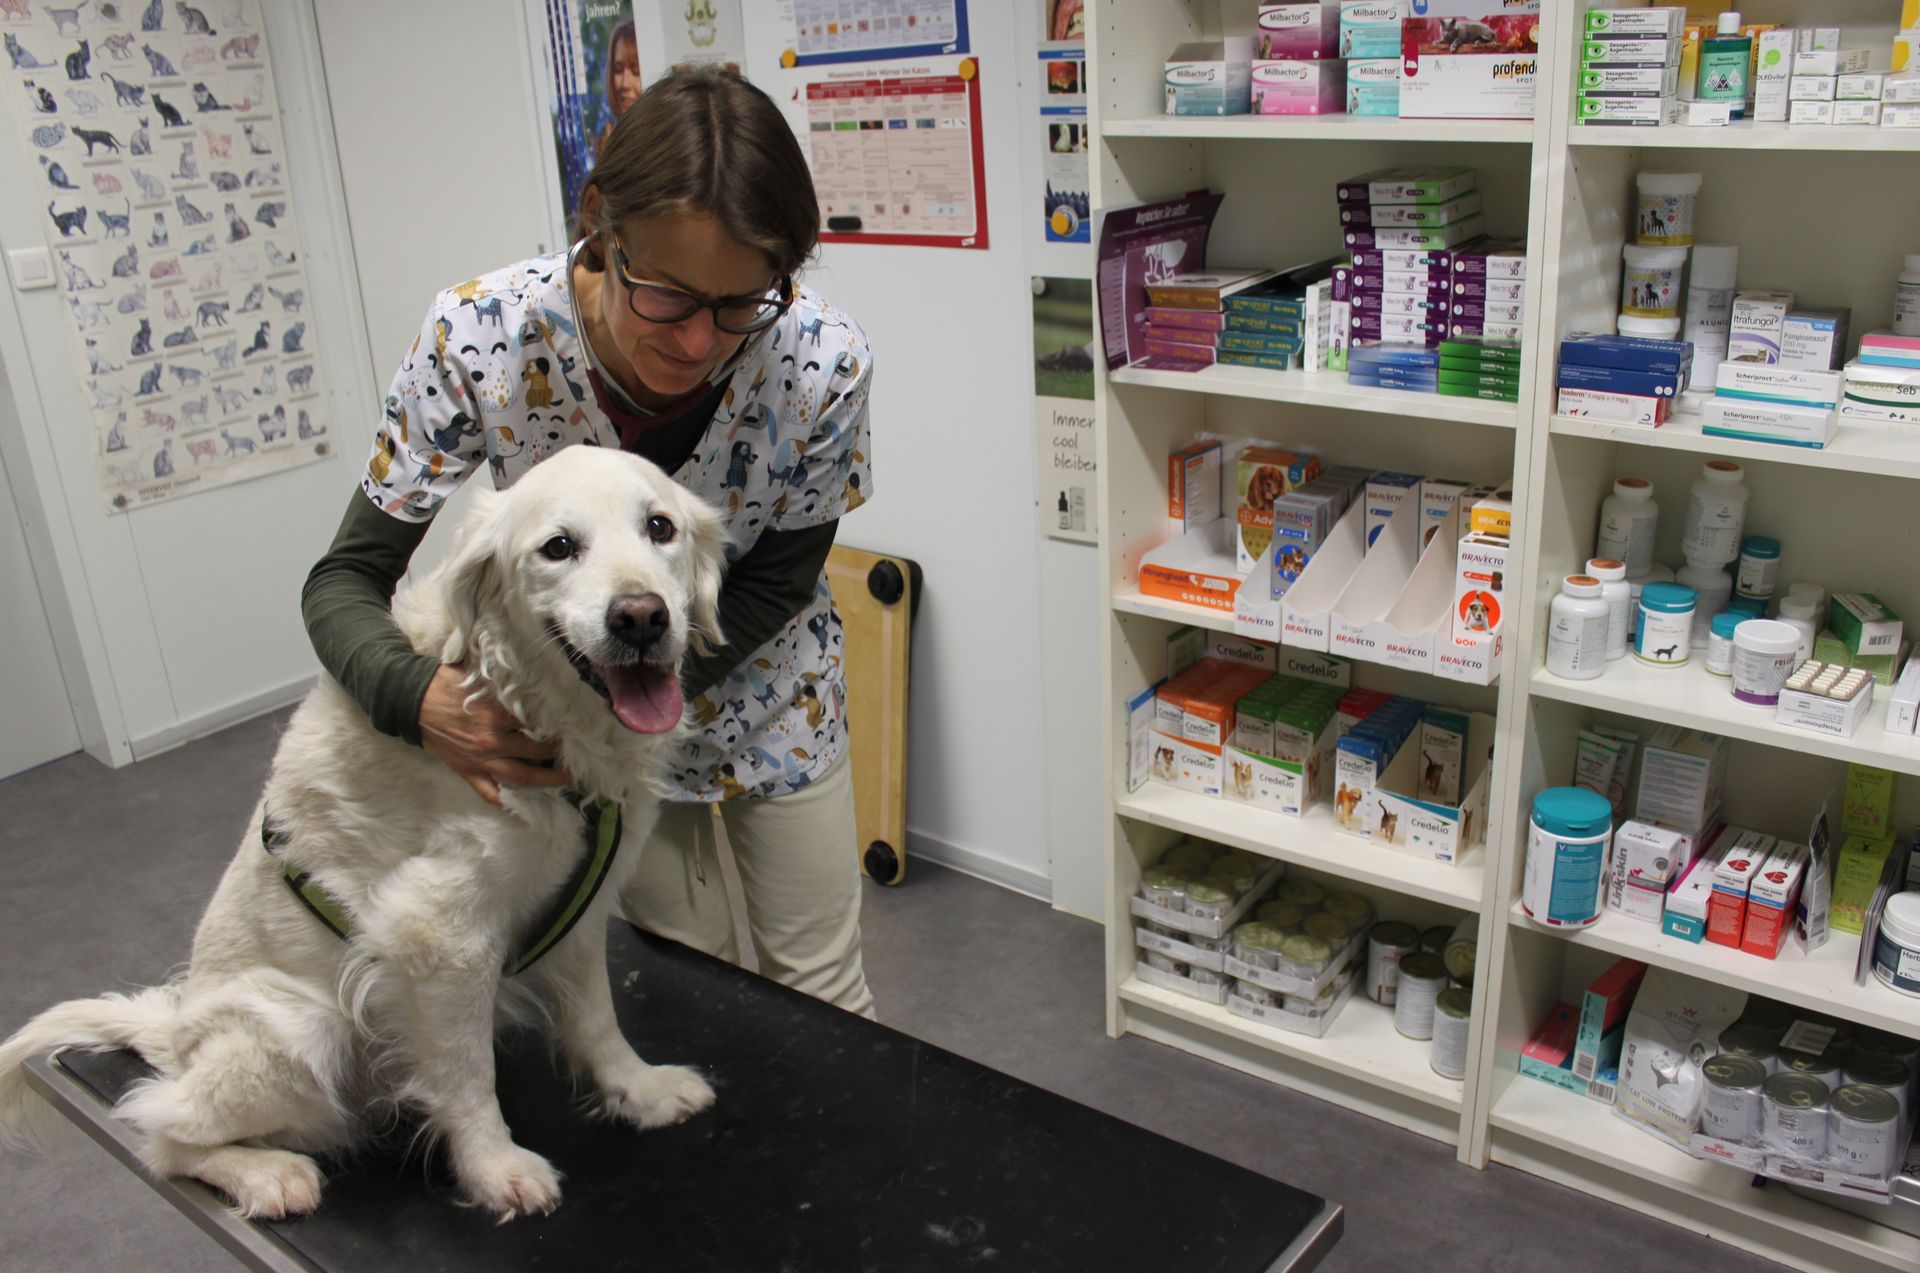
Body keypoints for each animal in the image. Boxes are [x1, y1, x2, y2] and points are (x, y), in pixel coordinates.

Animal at [0, 448, 728, 1221]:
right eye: (558, 547)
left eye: (660, 527)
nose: (641, 617)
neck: (532, 711)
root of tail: (175, 1032)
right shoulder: (438, 937)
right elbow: (468, 1078)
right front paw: (494, 1168)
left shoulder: (583, 907)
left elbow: (597, 1018)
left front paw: (639, 1088)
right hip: (297, 1030)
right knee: (162, 1129)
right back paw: (269, 1174)